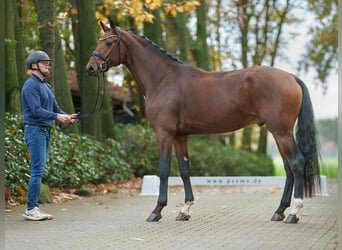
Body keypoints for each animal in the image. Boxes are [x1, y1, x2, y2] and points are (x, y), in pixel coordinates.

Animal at [85, 21, 320, 224]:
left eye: (108, 43)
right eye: (99, 40)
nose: (90, 68)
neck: (163, 79)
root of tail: (291, 77)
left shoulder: (164, 133)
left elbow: (164, 169)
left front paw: (157, 211)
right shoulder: (180, 136)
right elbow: (184, 170)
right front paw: (185, 210)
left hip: (281, 132)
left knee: (297, 163)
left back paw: (294, 213)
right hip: (278, 133)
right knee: (289, 168)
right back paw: (279, 211)